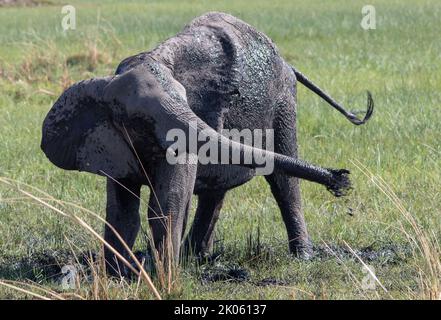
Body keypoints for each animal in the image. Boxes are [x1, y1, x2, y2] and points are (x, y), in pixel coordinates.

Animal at [40, 11, 372, 274]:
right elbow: (122, 209)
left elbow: (169, 201)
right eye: (136, 119)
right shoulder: (113, 143)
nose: (341, 178)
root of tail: (286, 62)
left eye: (185, 99)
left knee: (283, 182)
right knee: (218, 188)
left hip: (283, 100)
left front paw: (163, 277)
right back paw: (196, 258)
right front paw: (114, 276)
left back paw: (301, 258)